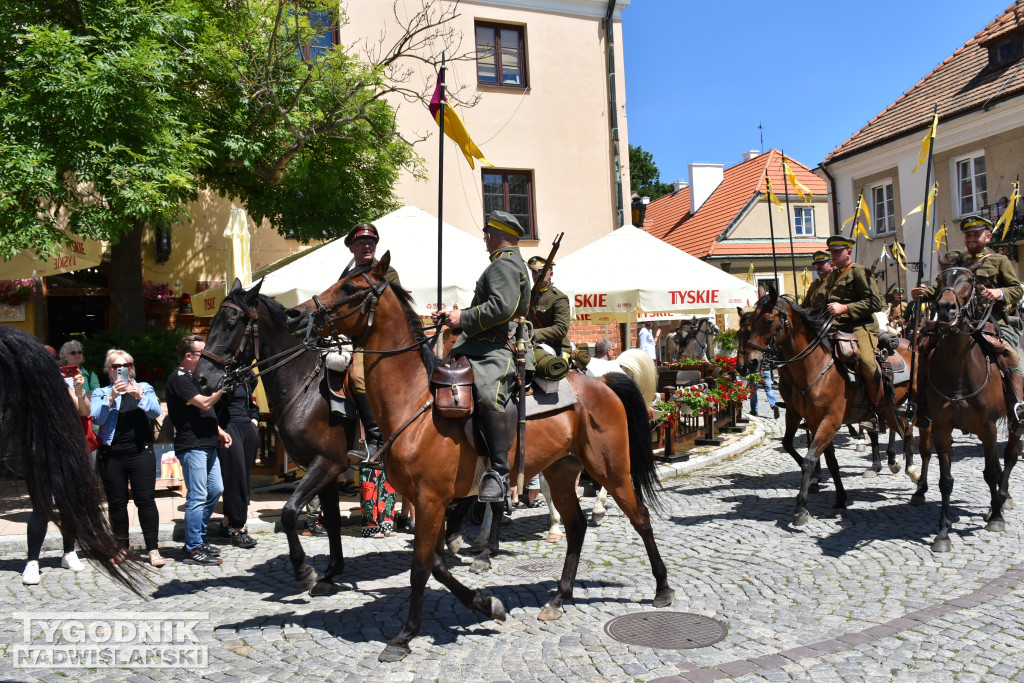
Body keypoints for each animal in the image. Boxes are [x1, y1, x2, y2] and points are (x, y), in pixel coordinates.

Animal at [193, 280, 358, 593]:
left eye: (231, 323)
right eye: (213, 321)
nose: (201, 379)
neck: (305, 386)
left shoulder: (327, 463)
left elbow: (290, 512)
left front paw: (303, 569)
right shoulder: (328, 468)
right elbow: (331, 519)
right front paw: (331, 572)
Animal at [284, 254, 675, 663]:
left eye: (349, 287)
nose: (295, 314)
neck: (415, 402)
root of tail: (601, 381)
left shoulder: (430, 501)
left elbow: (421, 567)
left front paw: (404, 636)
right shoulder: (432, 504)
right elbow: (437, 564)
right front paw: (487, 605)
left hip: (611, 469)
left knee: (640, 518)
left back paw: (662, 588)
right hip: (561, 472)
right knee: (576, 527)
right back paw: (558, 598)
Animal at [741, 290, 917, 528]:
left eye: (769, 321)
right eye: (750, 323)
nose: (750, 363)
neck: (816, 367)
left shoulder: (829, 421)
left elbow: (809, 460)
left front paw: (801, 507)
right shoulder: (808, 418)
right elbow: (826, 460)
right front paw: (839, 498)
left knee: (910, 429)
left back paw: (910, 472)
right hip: (890, 407)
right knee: (904, 427)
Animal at [913, 253, 1015, 552]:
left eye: (970, 281)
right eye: (939, 280)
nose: (945, 309)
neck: (959, 370)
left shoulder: (989, 427)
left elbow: (991, 472)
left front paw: (997, 518)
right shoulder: (941, 428)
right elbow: (946, 481)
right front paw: (943, 532)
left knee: (1010, 456)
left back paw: (1000, 502)